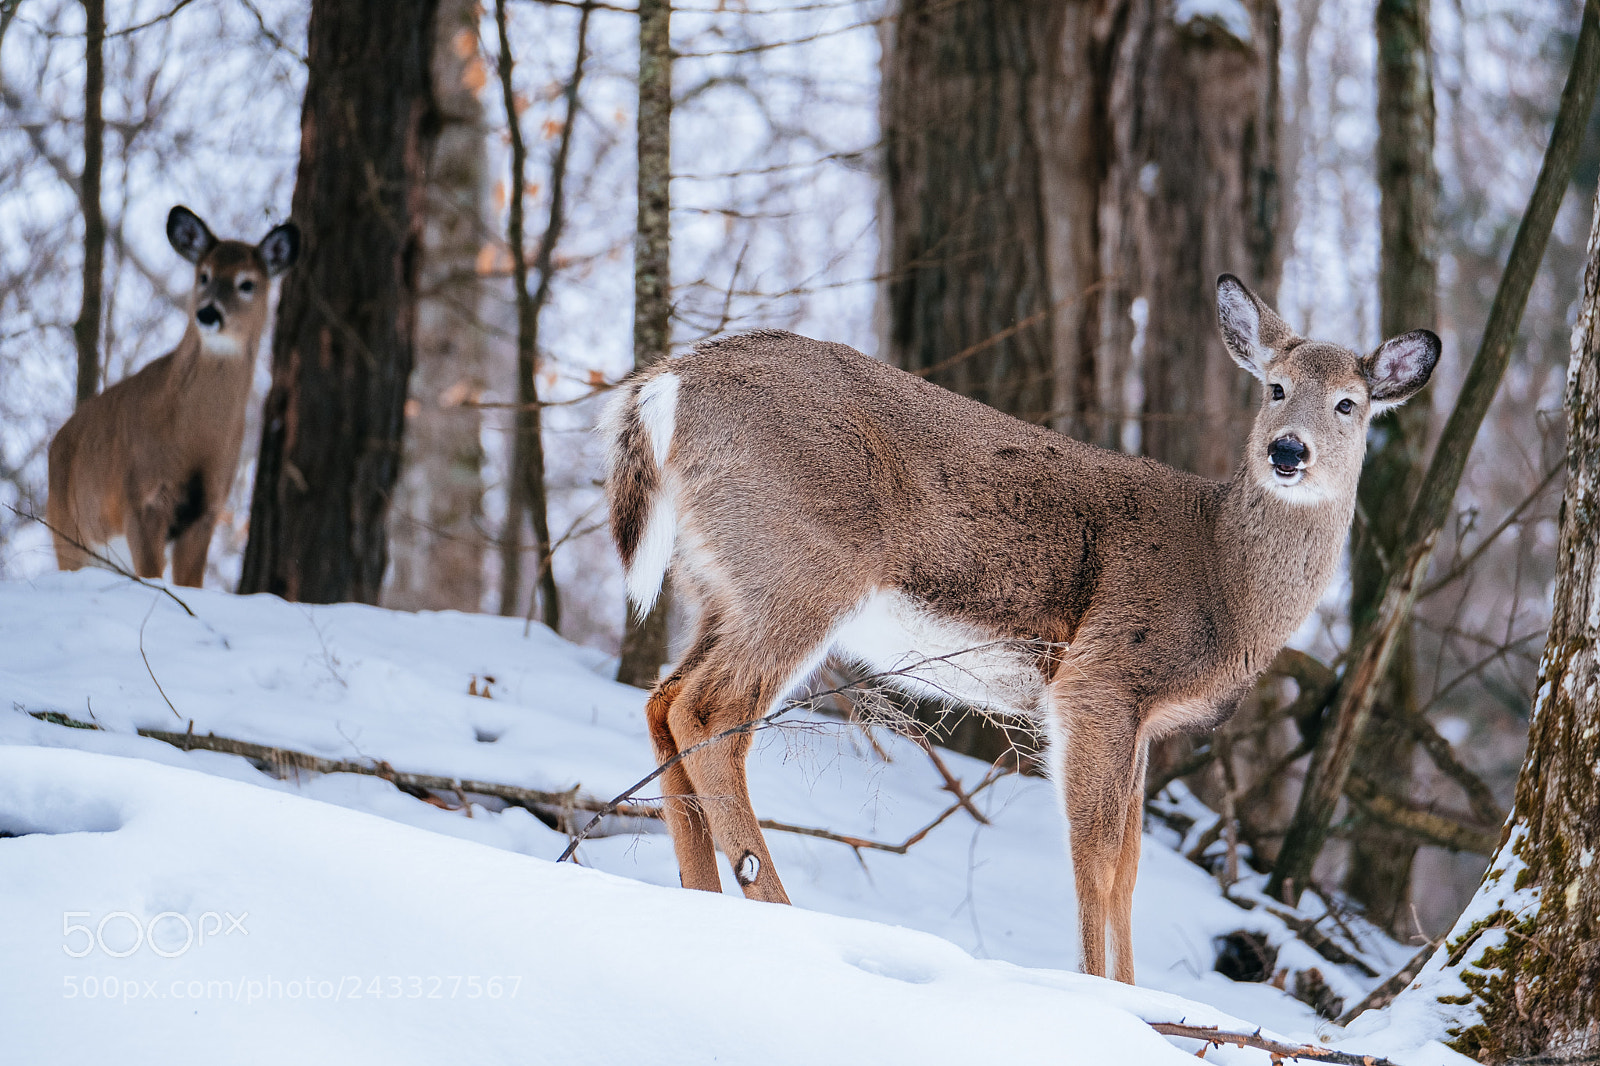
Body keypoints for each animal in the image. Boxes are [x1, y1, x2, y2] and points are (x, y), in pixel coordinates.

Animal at [46, 206, 299, 587]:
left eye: (247, 283)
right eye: (204, 275)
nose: (208, 313)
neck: (193, 438)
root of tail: (57, 442)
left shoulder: (208, 508)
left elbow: (189, 583)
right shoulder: (140, 498)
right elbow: (154, 576)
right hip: (68, 534)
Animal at [600, 274, 1438, 985]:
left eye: (1350, 404)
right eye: (1275, 387)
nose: (1286, 450)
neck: (1223, 577)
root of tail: (670, 383)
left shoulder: (1139, 719)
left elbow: (1131, 866)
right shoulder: (1099, 679)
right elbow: (1096, 858)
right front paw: (1104, 995)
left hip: (720, 581)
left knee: (662, 699)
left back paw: (701, 901)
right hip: (799, 565)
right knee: (711, 713)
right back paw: (779, 911)